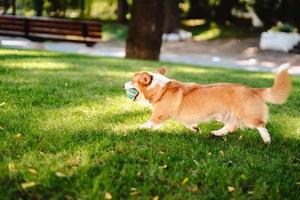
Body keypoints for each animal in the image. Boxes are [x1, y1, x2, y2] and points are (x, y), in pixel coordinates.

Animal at [123, 64, 290, 144]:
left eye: (132, 80)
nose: (123, 85)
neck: (159, 88)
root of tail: (253, 90)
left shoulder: (159, 115)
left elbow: (150, 122)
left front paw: (139, 127)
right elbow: (189, 124)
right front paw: (195, 128)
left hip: (247, 115)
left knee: (260, 125)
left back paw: (267, 140)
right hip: (223, 115)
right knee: (232, 126)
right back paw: (217, 133)